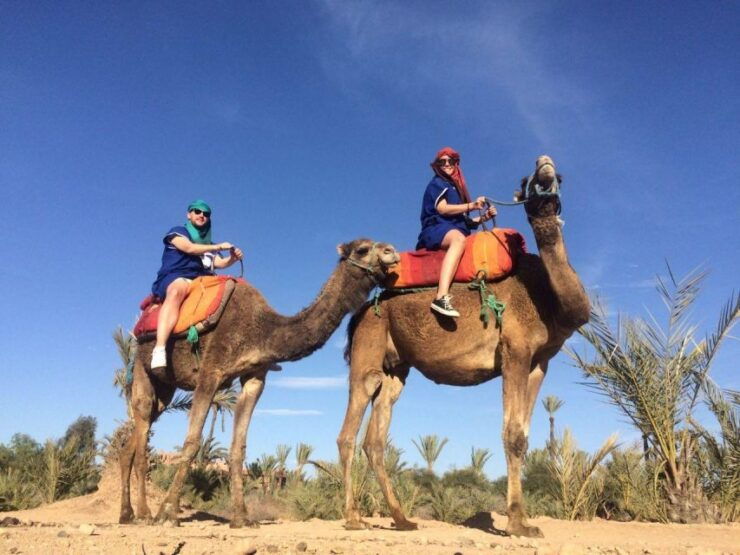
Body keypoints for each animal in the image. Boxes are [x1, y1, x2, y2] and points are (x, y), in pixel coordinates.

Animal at [119, 239, 400, 527]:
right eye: (363, 249)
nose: (391, 251)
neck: (262, 330)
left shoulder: (255, 377)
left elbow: (238, 448)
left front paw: (241, 517)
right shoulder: (211, 371)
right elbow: (192, 442)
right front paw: (167, 513)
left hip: (165, 388)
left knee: (132, 442)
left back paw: (126, 513)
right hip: (142, 367)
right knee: (142, 431)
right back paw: (145, 513)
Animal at [337, 156, 589, 538]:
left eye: (558, 175)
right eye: (526, 180)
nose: (544, 163)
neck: (546, 297)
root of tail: (360, 314)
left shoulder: (539, 362)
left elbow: (525, 435)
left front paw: (523, 521)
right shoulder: (514, 351)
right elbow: (513, 435)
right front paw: (518, 523)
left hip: (396, 367)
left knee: (376, 438)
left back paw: (402, 519)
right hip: (369, 345)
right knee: (350, 428)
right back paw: (353, 518)